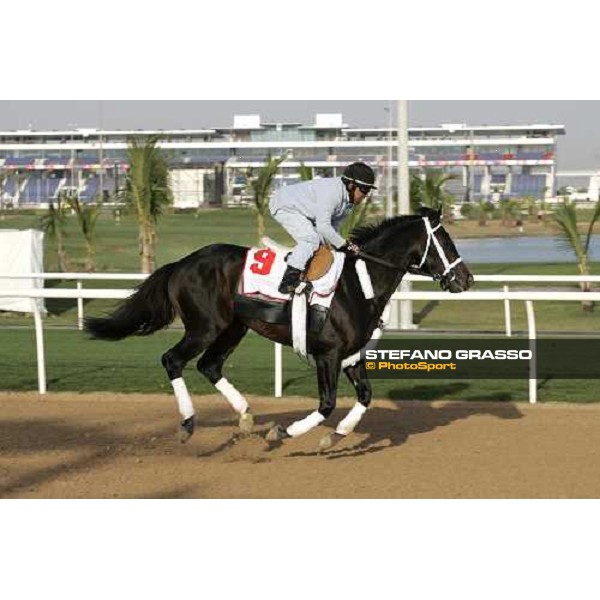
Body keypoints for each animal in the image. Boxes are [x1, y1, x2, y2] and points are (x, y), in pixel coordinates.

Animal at [84, 209, 474, 448]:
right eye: (446, 242)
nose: (466, 279)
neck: (358, 283)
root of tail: (180, 264)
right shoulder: (328, 354)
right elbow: (326, 404)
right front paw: (284, 431)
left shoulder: (351, 356)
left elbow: (364, 396)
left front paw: (336, 436)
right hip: (205, 327)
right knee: (172, 360)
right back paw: (189, 423)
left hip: (232, 329)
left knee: (209, 365)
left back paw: (244, 416)